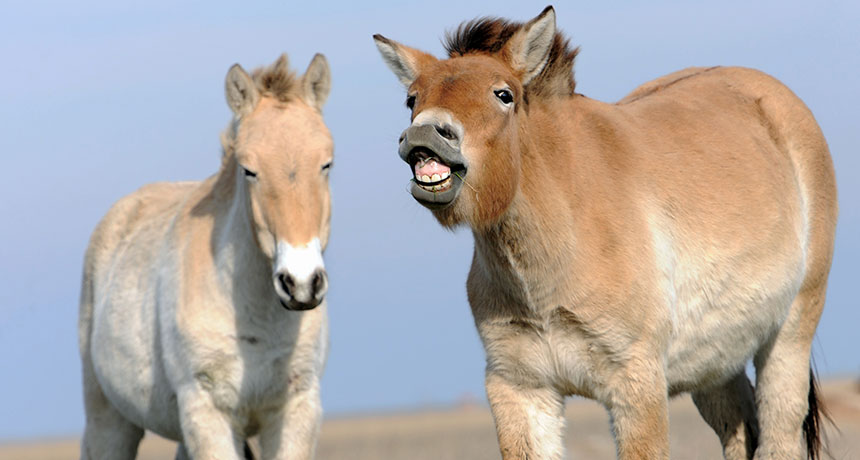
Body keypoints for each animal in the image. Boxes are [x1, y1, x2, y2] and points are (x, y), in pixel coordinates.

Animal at [78, 52, 333, 460]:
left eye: (326, 164)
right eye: (249, 171)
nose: (301, 283)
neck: (256, 319)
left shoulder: (297, 409)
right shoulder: (207, 412)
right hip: (110, 421)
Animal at [374, 6, 837, 459]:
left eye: (503, 94)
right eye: (412, 99)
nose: (424, 134)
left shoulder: (637, 385)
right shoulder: (520, 387)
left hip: (789, 337)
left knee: (779, 434)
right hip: (715, 363)